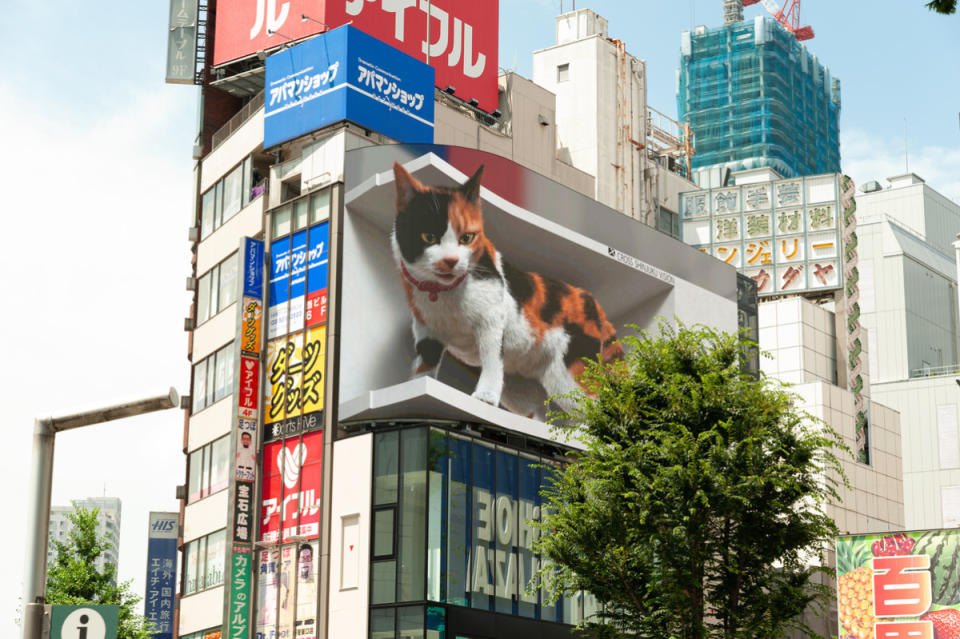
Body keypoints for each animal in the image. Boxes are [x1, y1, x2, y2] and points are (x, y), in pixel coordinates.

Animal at [390, 162, 624, 418]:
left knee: (596, 411)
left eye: (467, 237)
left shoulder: (491, 321)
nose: (450, 261)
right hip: (523, 385)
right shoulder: (427, 333)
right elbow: (423, 366)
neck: (444, 295)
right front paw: (416, 387)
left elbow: (491, 359)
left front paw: (485, 397)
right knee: (539, 414)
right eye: (428, 236)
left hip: (568, 375)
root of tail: (591, 301)